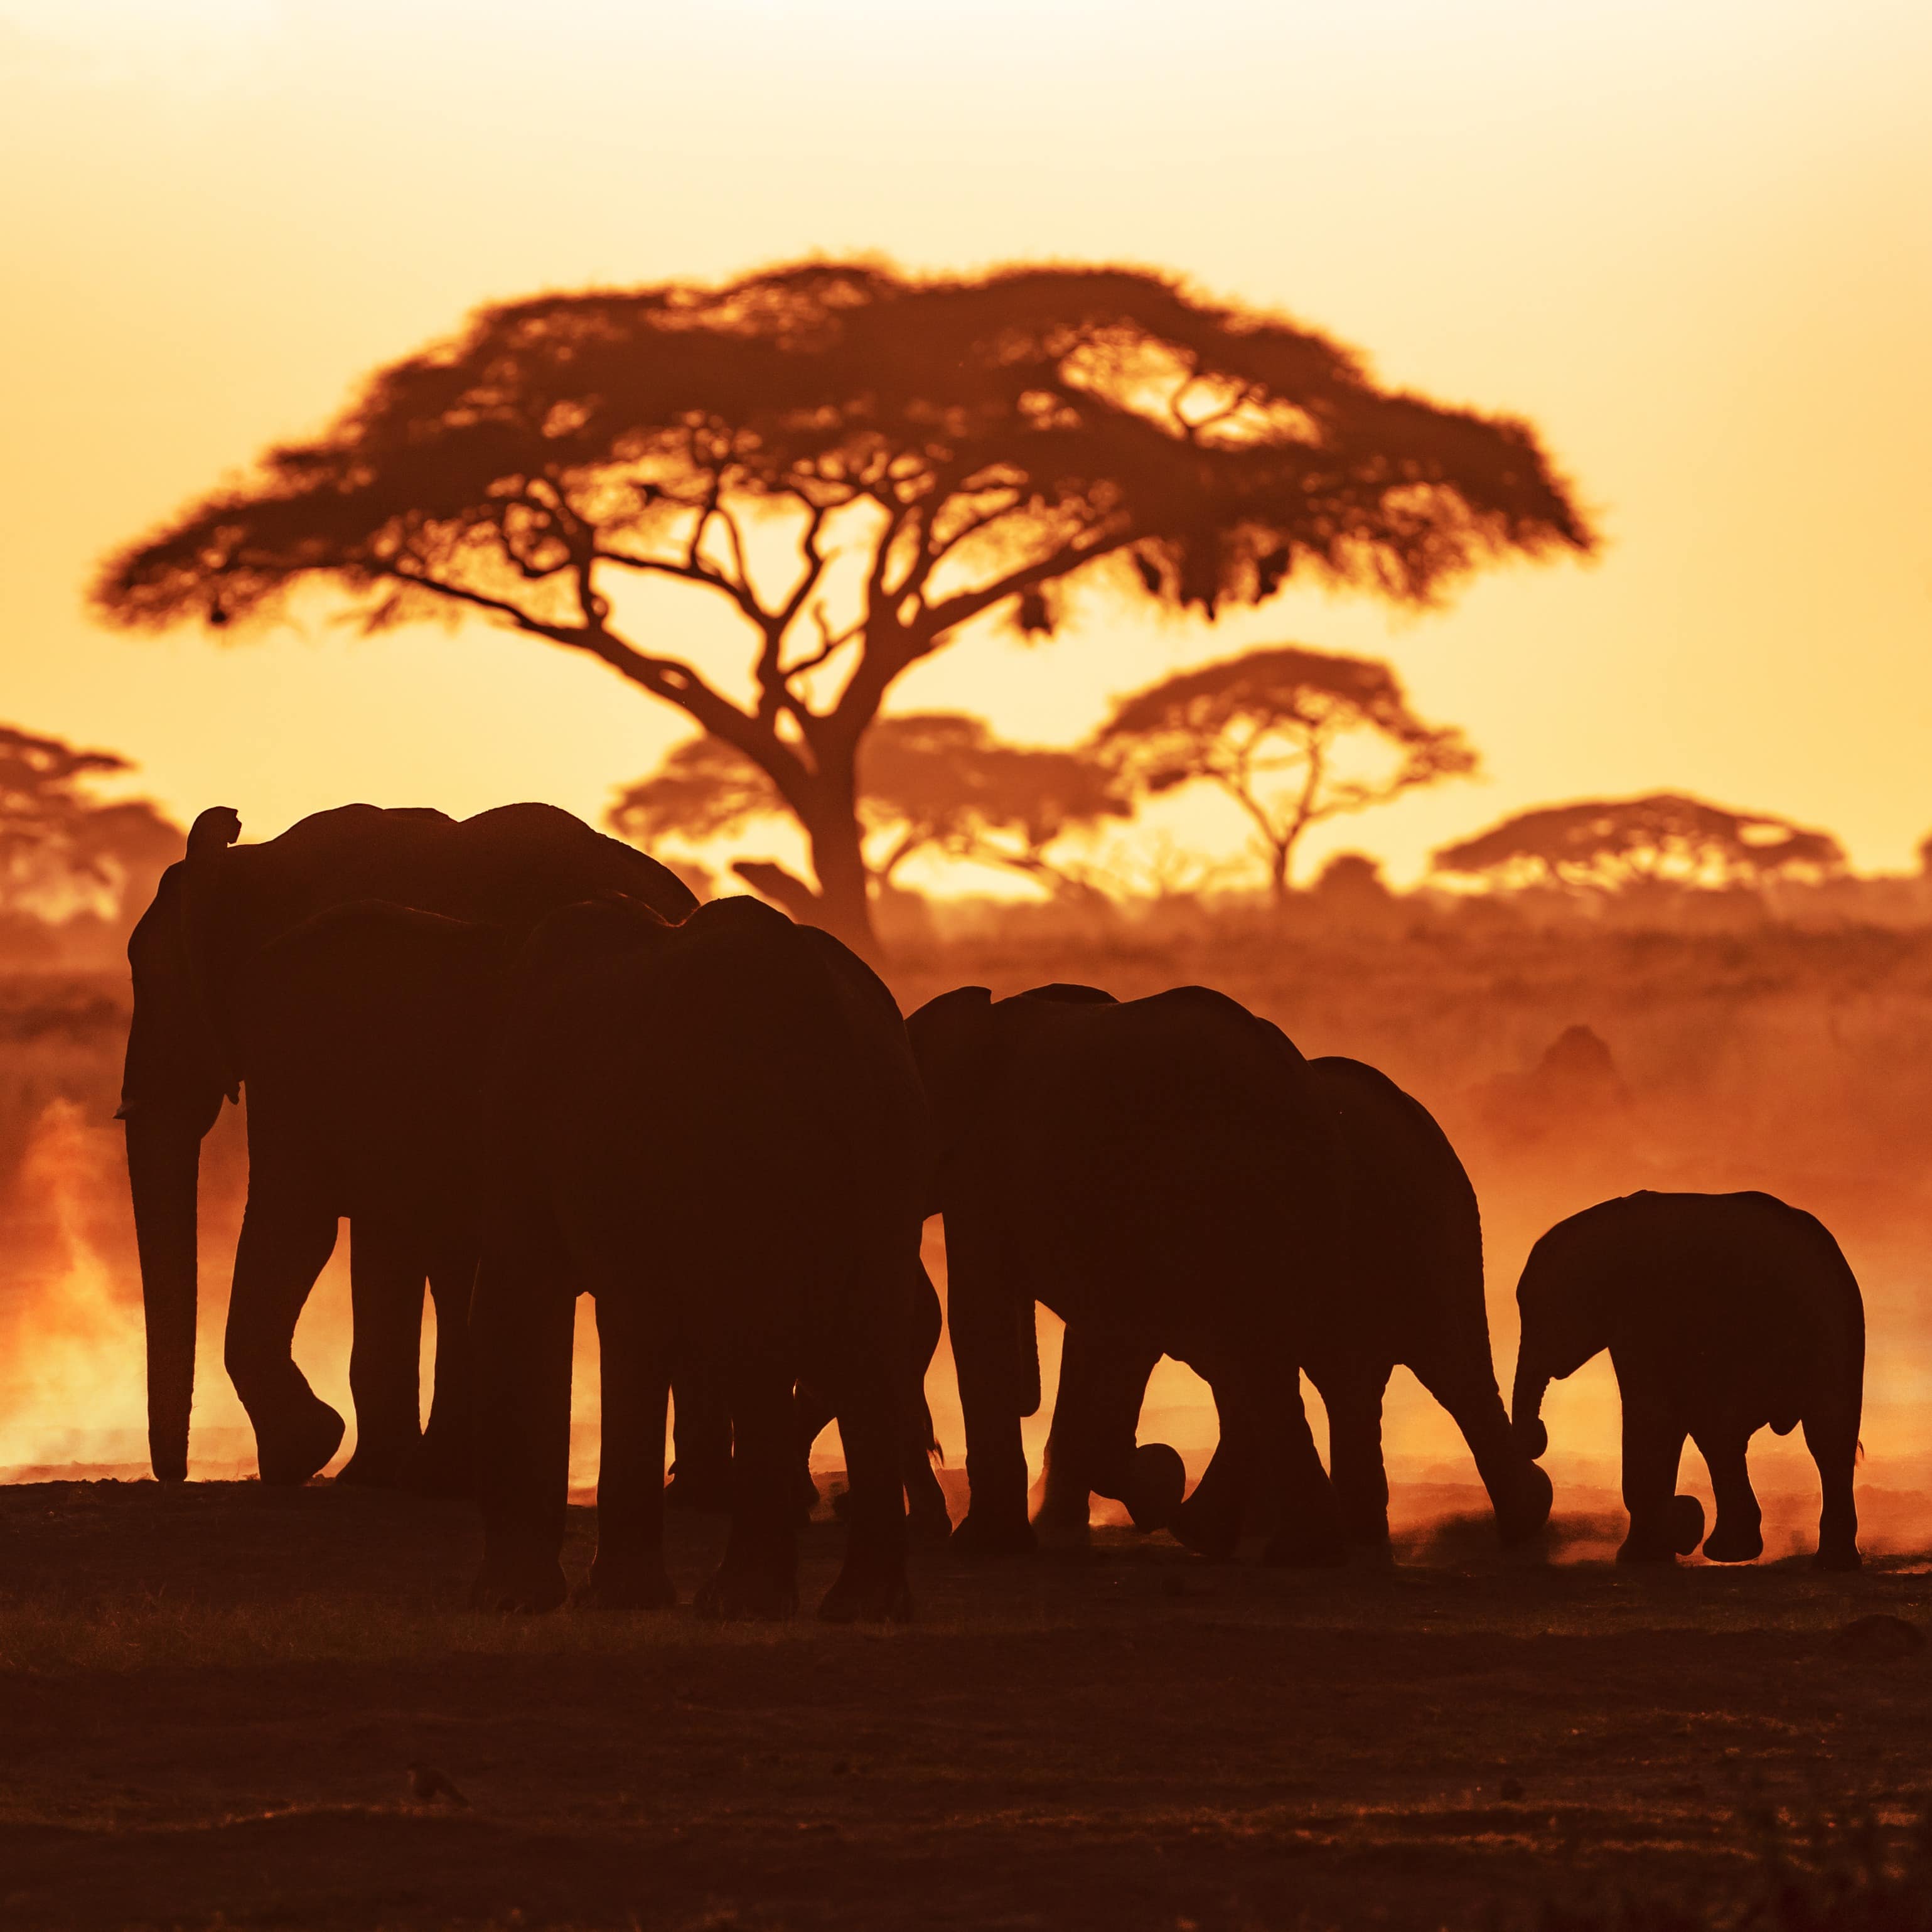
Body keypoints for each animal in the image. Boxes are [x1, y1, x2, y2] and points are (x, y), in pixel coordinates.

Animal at [119, 796, 695, 1476]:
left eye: (148, 983)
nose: (173, 1473)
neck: (251, 862)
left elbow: (300, 1218)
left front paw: (311, 1454)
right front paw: (364, 1468)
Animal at [471, 896, 931, 1623]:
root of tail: (836, 1036)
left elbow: (525, 1292)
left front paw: (514, 1601)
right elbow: (631, 1323)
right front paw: (619, 1599)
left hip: (749, 1148)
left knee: (760, 1347)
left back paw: (741, 1604)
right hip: (892, 1159)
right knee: (870, 1350)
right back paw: (862, 1608)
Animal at [900, 989, 1344, 1561]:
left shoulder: (983, 1171)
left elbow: (981, 1314)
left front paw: (984, 1548)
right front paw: (1153, 1483)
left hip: (1216, 1200)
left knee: (1242, 1359)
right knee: (1249, 1363)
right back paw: (1266, 1544)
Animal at [1515, 1190, 1862, 1569]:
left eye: (1540, 1313)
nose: (1537, 1438)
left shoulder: (1645, 1315)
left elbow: (1651, 1413)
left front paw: (1640, 1556)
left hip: (1832, 1329)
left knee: (1817, 1435)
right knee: (1790, 1438)